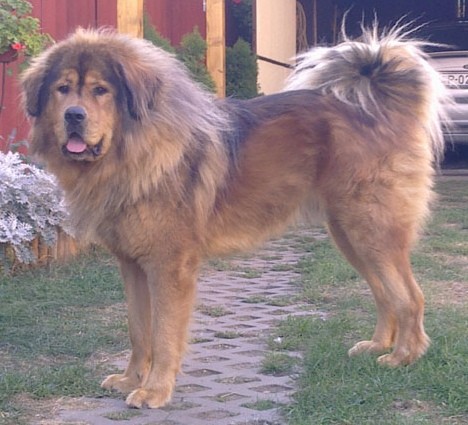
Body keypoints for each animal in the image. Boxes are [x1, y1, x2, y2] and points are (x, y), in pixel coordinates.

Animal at [21, 24, 448, 408]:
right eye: (62, 89)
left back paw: (403, 357)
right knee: (384, 293)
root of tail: (378, 105)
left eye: (100, 90)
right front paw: (131, 378)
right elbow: (138, 330)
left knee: (410, 297)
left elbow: (164, 334)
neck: (135, 152)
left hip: (371, 231)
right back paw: (377, 345)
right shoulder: (132, 264)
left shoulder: (169, 267)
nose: (74, 116)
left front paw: (154, 391)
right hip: (349, 235)